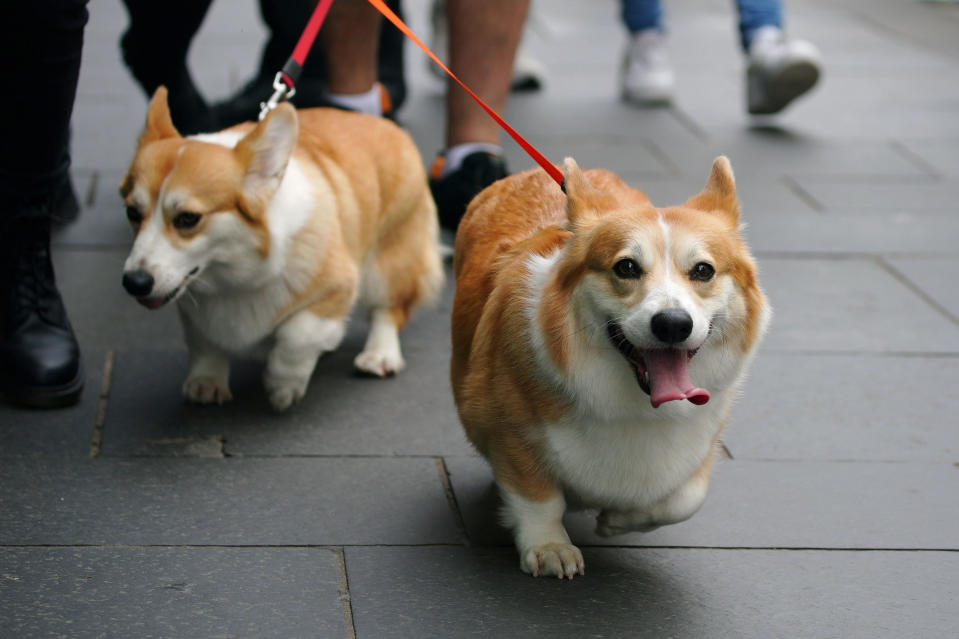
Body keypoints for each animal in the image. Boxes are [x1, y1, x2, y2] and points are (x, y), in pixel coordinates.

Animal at [119, 89, 442, 410]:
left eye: (188, 218)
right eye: (132, 212)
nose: (134, 283)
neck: (233, 277)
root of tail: (389, 126)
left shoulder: (338, 285)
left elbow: (298, 333)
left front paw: (283, 386)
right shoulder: (193, 307)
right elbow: (203, 342)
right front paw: (206, 382)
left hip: (387, 263)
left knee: (389, 310)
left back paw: (379, 355)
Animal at [450, 156, 772, 580]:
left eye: (703, 271)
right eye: (626, 267)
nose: (673, 324)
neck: (636, 403)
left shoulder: (702, 441)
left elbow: (685, 499)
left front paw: (618, 520)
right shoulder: (509, 428)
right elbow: (538, 497)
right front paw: (549, 547)